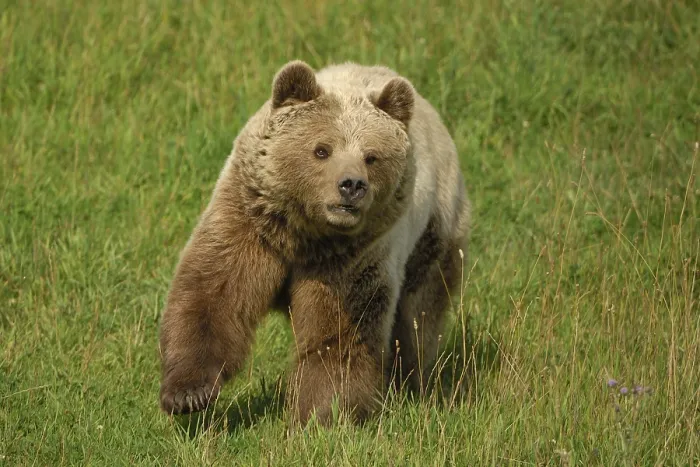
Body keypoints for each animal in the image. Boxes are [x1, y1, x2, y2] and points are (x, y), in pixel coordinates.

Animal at [158, 60, 471, 426]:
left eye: (372, 156)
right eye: (322, 149)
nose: (352, 185)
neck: (304, 235)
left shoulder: (353, 256)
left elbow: (338, 332)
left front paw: (321, 414)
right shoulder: (251, 223)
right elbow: (215, 294)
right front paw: (189, 393)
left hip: (433, 232)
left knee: (420, 317)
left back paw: (411, 381)